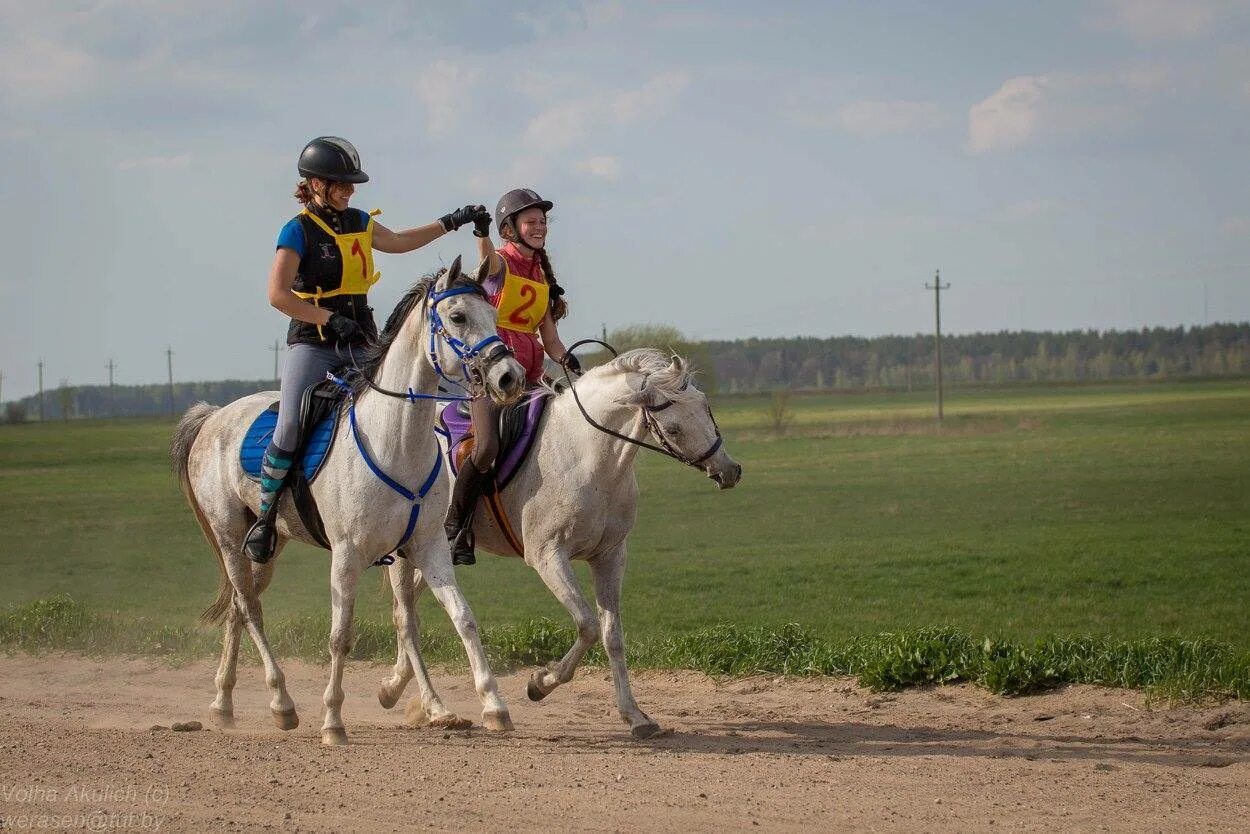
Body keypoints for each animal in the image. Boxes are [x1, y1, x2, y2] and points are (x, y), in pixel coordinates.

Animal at [171, 256, 522, 745]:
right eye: (457, 317)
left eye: (493, 314)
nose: (510, 377)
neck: (397, 441)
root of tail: (212, 417)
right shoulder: (347, 553)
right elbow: (341, 635)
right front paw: (333, 722)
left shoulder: (428, 546)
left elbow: (461, 619)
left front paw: (492, 705)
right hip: (228, 536)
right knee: (251, 609)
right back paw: (282, 703)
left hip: (267, 545)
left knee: (240, 610)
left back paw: (223, 704)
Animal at [375, 350, 735, 740]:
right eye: (673, 428)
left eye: (706, 408)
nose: (729, 471)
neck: (587, 456)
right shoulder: (548, 556)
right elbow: (588, 625)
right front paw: (540, 683)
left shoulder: (610, 556)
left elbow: (612, 636)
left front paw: (635, 716)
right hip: (407, 552)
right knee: (405, 618)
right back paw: (433, 706)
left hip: (431, 555)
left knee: (407, 610)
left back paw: (394, 686)